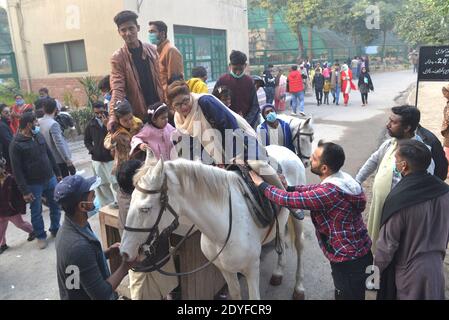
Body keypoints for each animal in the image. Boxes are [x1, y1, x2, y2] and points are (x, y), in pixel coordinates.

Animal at [121, 146, 306, 298]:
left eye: (145, 208)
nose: (124, 253)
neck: (222, 231)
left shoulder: (252, 269)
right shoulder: (225, 269)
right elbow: (235, 293)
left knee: (299, 247)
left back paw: (299, 288)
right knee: (281, 239)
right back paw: (278, 273)